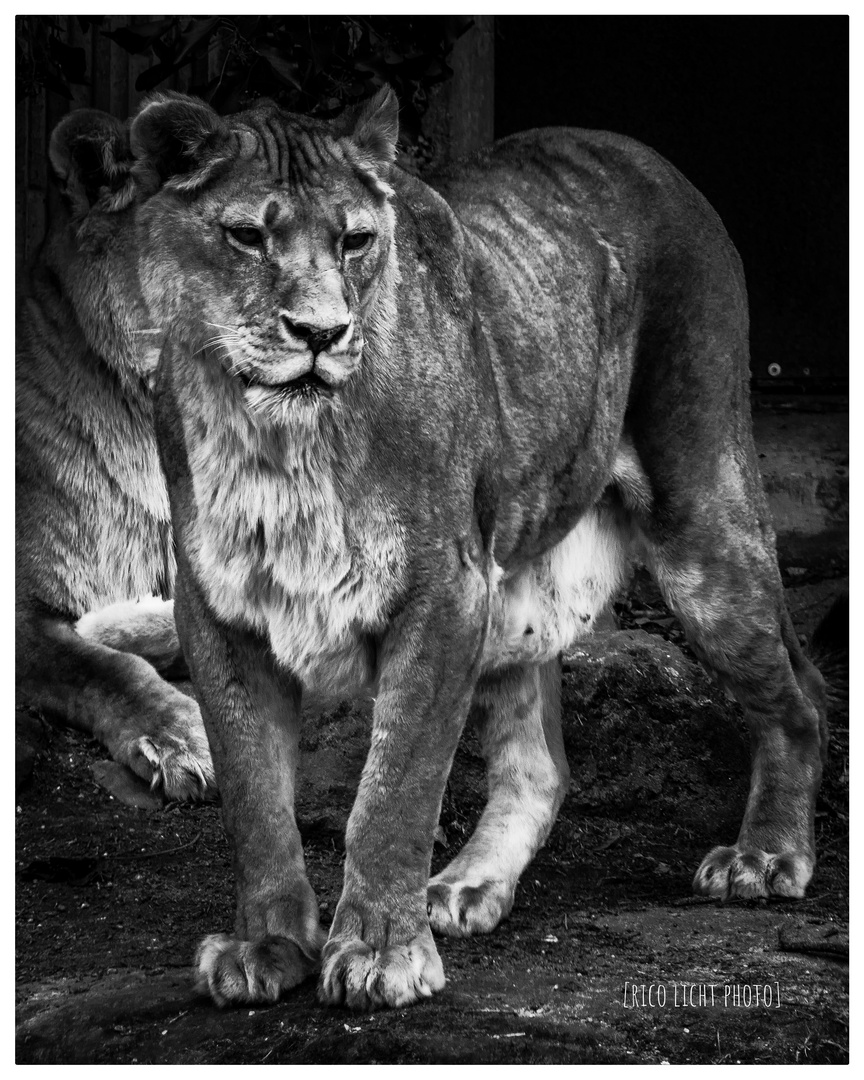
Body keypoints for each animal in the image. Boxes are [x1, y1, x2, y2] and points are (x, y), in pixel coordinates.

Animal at [118, 86, 825, 1010]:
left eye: (355, 240)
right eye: (246, 236)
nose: (320, 332)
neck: (278, 441)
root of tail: (648, 156)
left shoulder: (442, 590)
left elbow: (394, 791)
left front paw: (380, 953)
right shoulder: (220, 610)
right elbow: (254, 796)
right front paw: (265, 946)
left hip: (703, 521)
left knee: (799, 694)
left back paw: (766, 856)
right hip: (515, 583)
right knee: (540, 766)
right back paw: (465, 887)